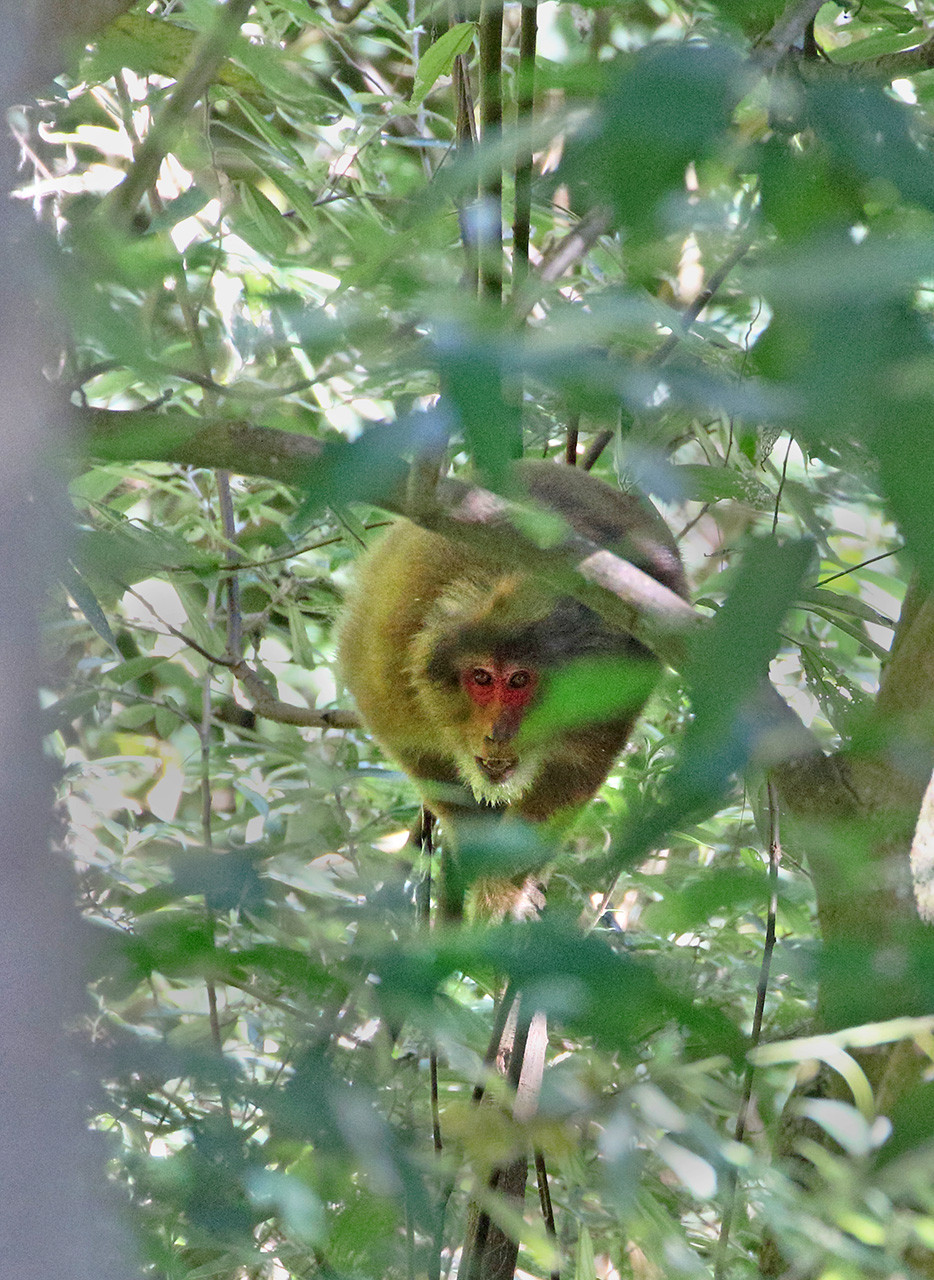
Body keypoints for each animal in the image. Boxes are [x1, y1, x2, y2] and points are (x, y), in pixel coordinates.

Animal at [338, 459, 687, 918]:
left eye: (520, 680)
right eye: (482, 678)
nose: (498, 733)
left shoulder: (610, 682)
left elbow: (573, 770)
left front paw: (503, 887)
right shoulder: (388, 668)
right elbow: (414, 747)